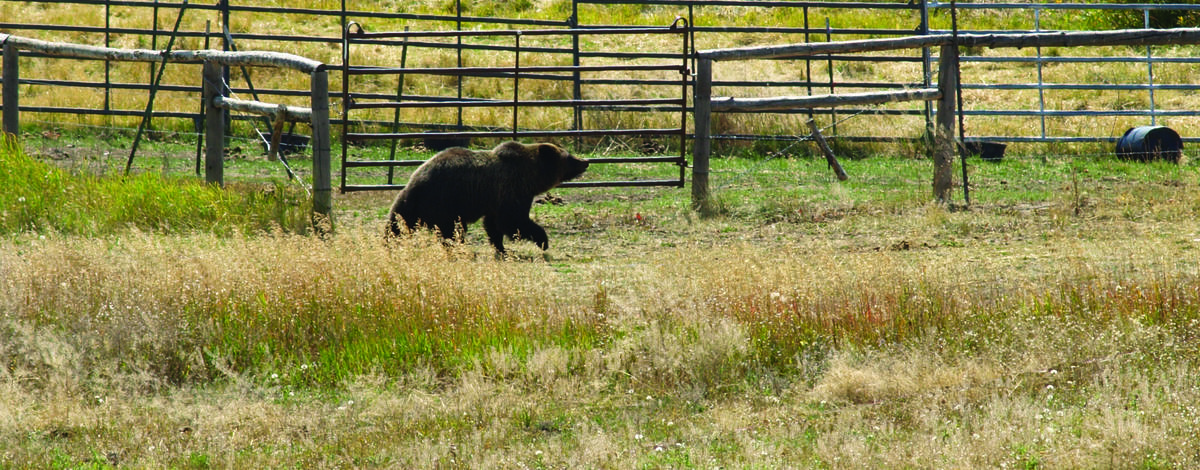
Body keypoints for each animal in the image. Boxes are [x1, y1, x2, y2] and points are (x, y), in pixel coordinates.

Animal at [386, 141, 588, 255]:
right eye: (569, 157)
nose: (585, 161)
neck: (530, 177)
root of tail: (415, 182)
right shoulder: (512, 192)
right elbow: (514, 221)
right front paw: (542, 240)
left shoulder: (495, 200)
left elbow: (494, 225)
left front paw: (501, 247)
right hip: (445, 201)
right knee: (452, 230)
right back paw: (460, 248)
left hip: (413, 204)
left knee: (396, 224)